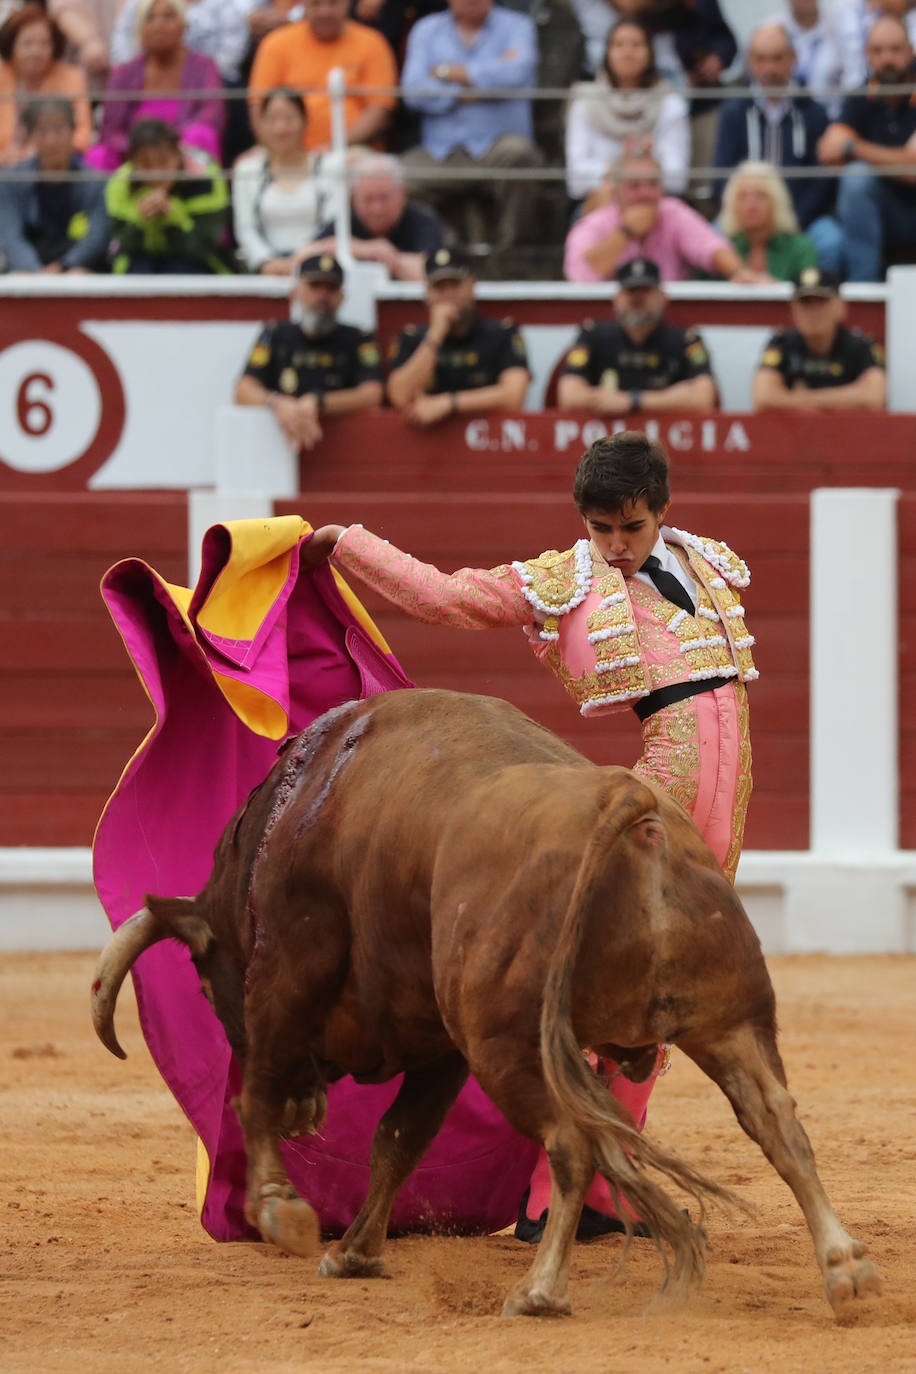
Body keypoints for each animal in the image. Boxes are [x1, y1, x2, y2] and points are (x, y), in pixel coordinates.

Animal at [91, 692, 878, 1313]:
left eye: (203, 985)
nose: (305, 1111)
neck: (296, 809)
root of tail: (631, 806)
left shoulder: (288, 970)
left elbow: (257, 1090)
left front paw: (283, 1212)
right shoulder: (441, 1046)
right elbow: (398, 1142)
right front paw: (355, 1253)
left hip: (511, 1046)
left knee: (571, 1143)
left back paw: (539, 1292)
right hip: (730, 1022)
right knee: (779, 1127)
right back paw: (846, 1270)